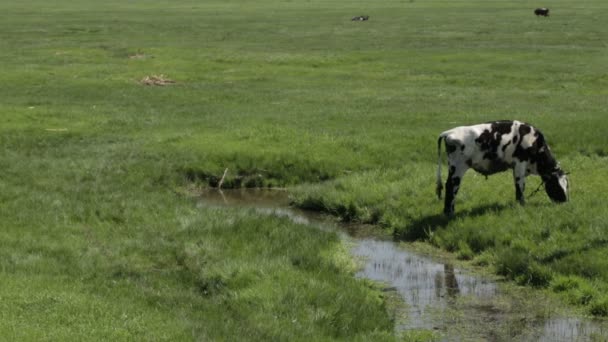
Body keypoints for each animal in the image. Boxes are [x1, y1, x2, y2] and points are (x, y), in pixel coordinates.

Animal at [434, 120, 568, 216]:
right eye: (556, 185)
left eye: (567, 185)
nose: (565, 202)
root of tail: (448, 132)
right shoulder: (520, 164)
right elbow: (520, 186)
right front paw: (521, 204)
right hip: (457, 168)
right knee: (451, 186)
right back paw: (449, 212)